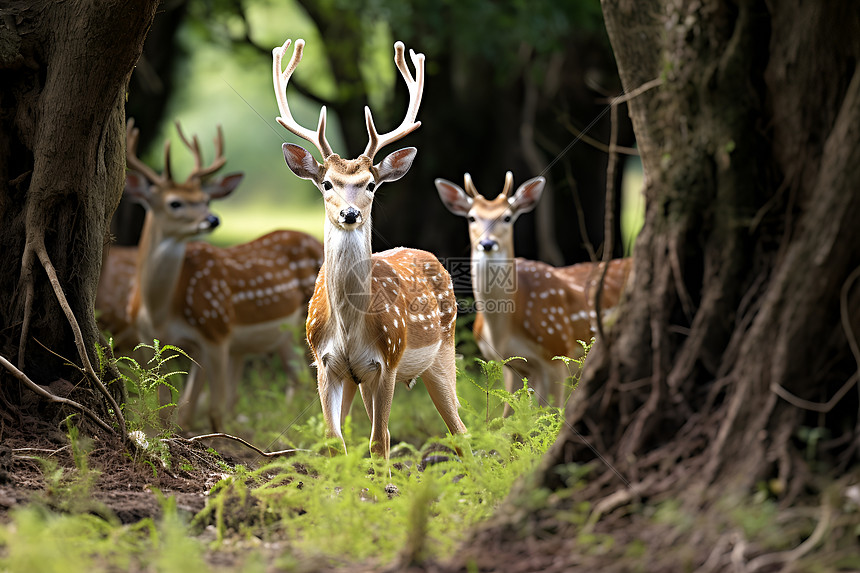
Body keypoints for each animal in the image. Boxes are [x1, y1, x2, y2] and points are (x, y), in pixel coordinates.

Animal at [126, 119, 328, 428]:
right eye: (175, 202)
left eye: (205, 200)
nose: (212, 219)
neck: (160, 310)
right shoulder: (148, 339)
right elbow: (170, 408)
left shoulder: (216, 330)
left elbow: (213, 408)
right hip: (277, 338)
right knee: (296, 380)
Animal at [272, 38, 466, 458]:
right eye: (327, 182)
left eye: (371, 184)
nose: (349, 213)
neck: (348, 328)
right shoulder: (325, 363)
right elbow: (334, 440)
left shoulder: (387, 361)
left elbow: (381, 440)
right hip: (357, 380)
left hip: (443, 350)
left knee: (460, 431)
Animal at [436, 172, 632, 408]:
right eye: (472, 217)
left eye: (507, 217)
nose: (487, 243)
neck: (502, 331)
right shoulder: (510, 364)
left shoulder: (557, 351)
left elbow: (553, 413)